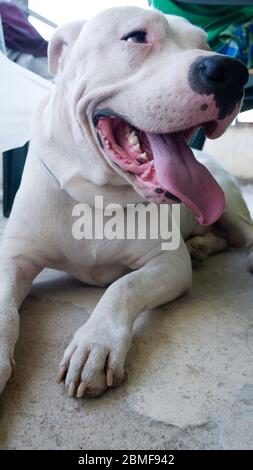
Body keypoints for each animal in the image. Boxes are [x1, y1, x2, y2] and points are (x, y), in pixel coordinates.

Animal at [0, 5, 253, 398]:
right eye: (136, 36)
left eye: (206, 44)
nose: (232, 71)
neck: (97, 198)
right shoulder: (15, 258)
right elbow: (4, 309)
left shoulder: (168, 264)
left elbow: (124, 286)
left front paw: (97, 343)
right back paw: (200, 245)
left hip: (227, 201)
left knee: (242, 234)